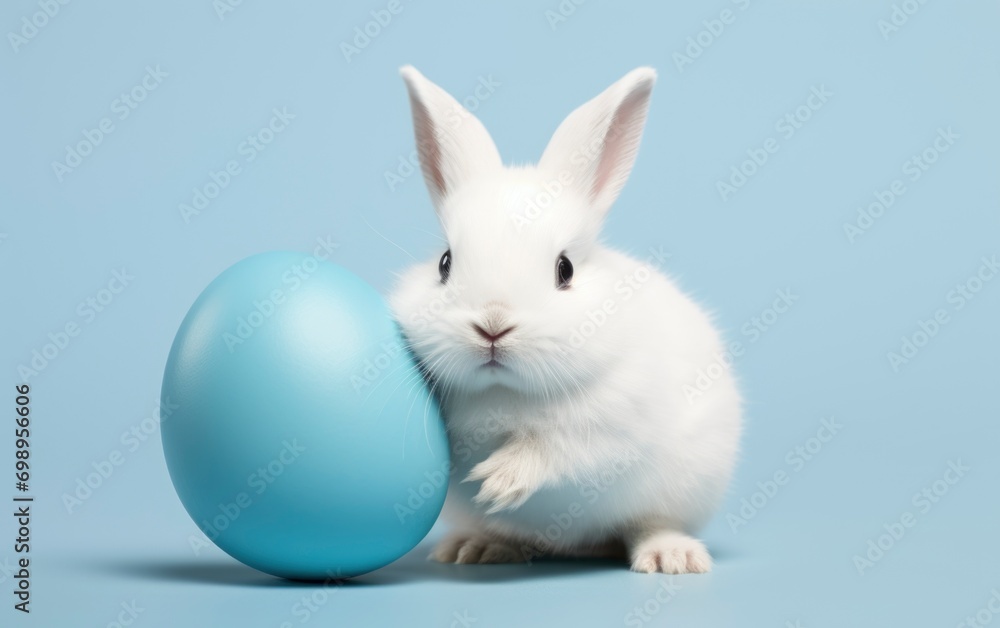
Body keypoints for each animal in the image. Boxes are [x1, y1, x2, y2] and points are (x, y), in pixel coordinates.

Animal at [389, 65, 742, 574]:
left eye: (565, 269)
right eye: (444, 263)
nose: (493, 326)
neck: (504, 393)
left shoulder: (611, 427)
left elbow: (558, 450)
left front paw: (498, 480)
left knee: (649, 524)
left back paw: (670, 557)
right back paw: (477, 547)